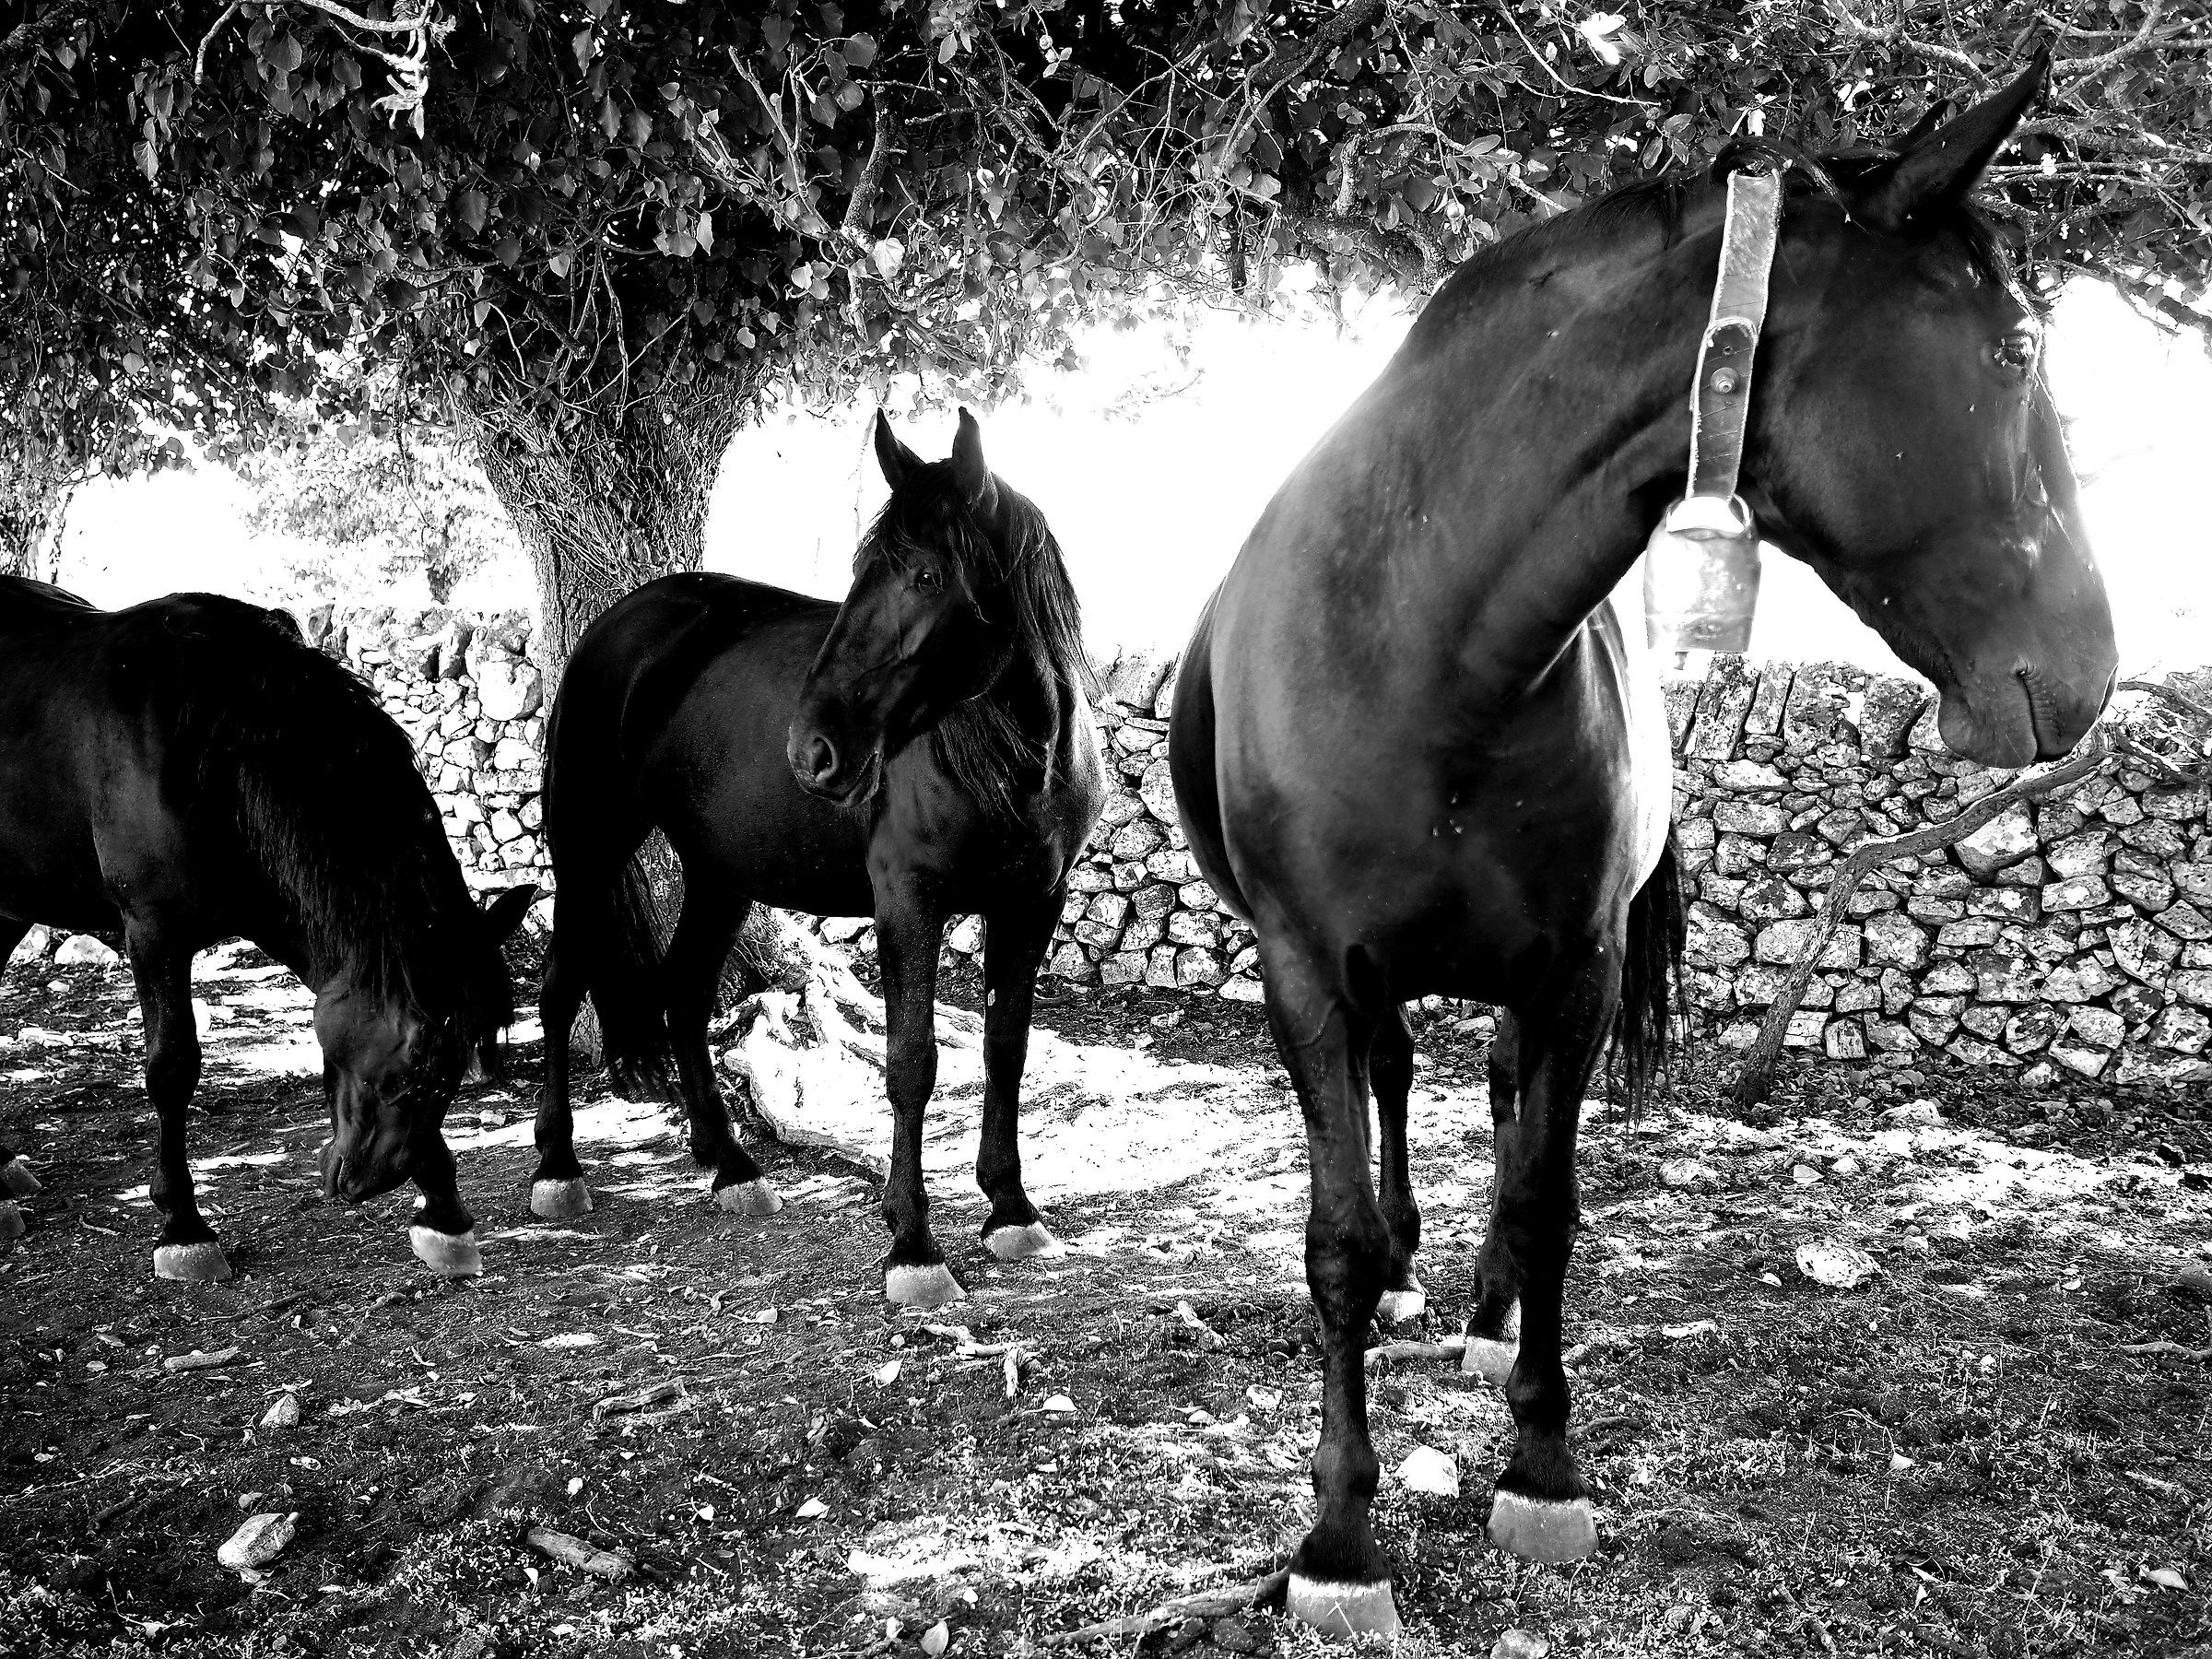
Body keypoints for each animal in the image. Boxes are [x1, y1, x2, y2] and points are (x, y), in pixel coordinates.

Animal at [0, 576, 536, 1282]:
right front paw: (183, 1224)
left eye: (457, 1061)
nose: (370, 1181)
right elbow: (172, 1068)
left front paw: (444, 1212)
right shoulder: (153, 937)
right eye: (414, 1058)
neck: (211, 737)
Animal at [529, 409, 1102, 1308]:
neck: (1020, 760)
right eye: (863, 570)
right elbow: (912, 1064)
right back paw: (558, 1170)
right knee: (560, 989)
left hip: (719, 874)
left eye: (928, 574)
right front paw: (912, 1244)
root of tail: (622, 622)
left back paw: (730, 1164)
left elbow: (1005, 1050)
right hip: (588, 846)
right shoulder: (909, 903)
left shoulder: (1034, 902)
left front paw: (1011, 1208)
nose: (814, 752)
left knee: (683, 992)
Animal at [1168, 54, 2114, 1635]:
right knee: (1392, 1080)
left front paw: (1540, 1463)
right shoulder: (1302, 969)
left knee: (1491, 1101)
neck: (1422, 648)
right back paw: (1424, 1275)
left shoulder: (1576, 967)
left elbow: (1549, 1200)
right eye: (2018, 347)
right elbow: (1337, 1239)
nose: (2092, 673)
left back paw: (1486, 1311)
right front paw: (1341, 1537)